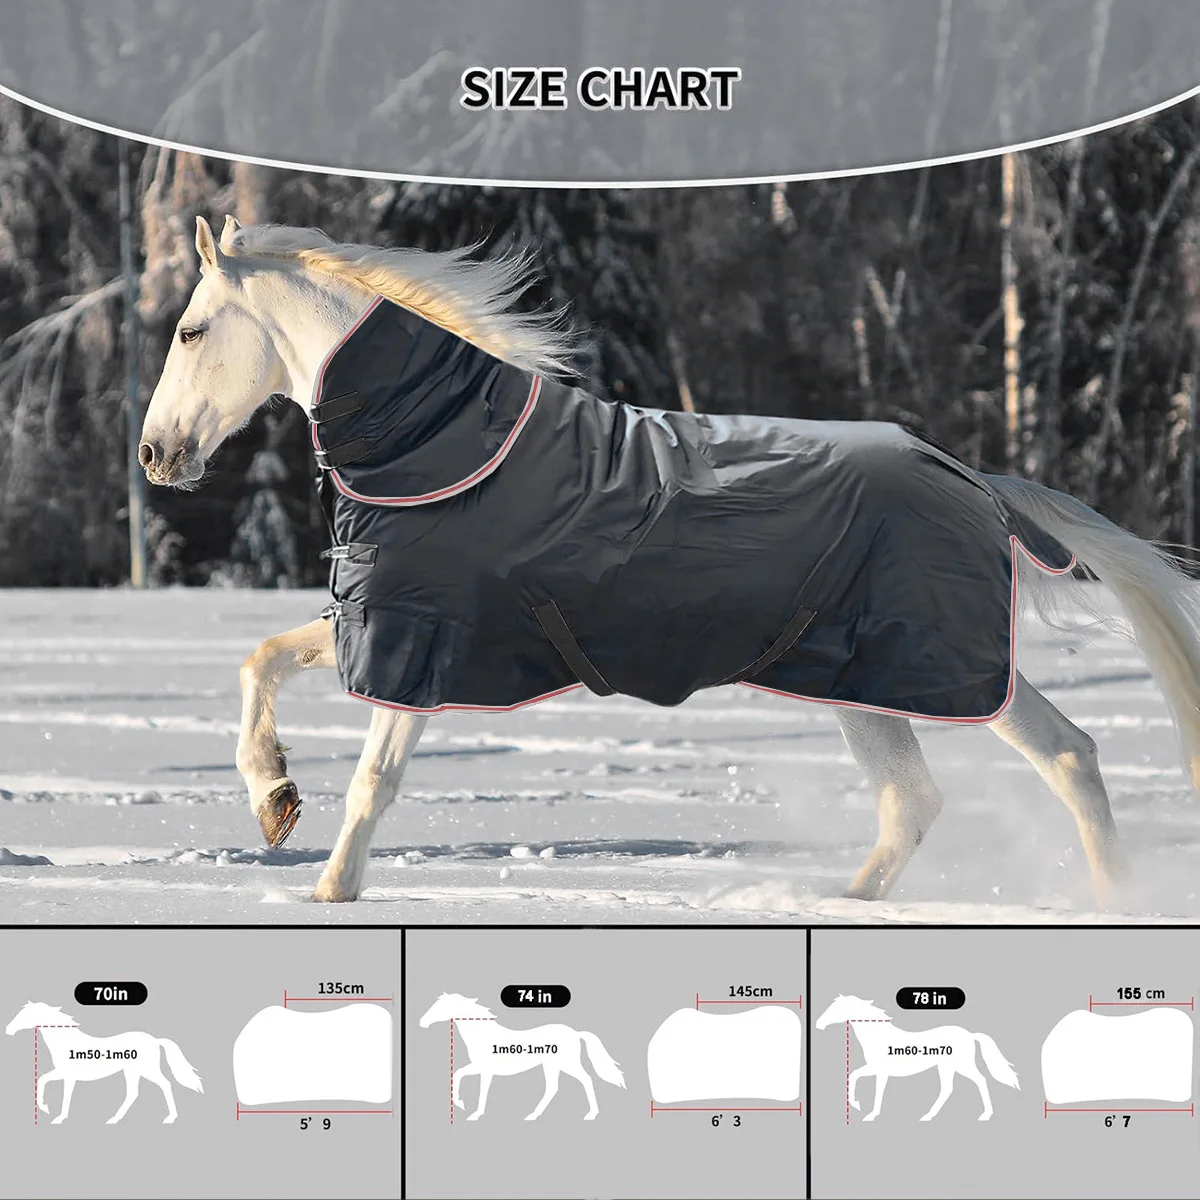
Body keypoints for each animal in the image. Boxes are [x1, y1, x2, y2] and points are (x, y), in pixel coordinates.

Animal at [5, 1001, 204, 1124]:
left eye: (25, 1014)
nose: (8, 1029)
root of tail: (155, 1040)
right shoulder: (64, 1074)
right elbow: (44, 1080)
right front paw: (47, 1109)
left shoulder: (68, 1075)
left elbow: (60, 1092)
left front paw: (55, 1116)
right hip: (132, 1072)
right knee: (133, 1093)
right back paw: (114, 1119)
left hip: (148, 1070)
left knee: (165, 1084)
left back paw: (170, 1118)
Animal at [138, 213, 1200, 907]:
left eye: (190, 329)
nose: (155, 456)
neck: (439, 441)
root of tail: (977, 479)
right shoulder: (382, 626)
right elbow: (260, 663)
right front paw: (274, 803)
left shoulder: (421, 642)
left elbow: (372, 782)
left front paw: (327, 888)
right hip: (864, 680)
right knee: (927, 798)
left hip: (940, 664)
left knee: (1059, 757)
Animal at [418, 992, 626, 1120]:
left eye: (440, 1006)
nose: (422, 1022)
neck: (483, 1034)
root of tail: (575, 1033)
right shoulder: (482, 1070)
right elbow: (463, 1078)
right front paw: (466, 1107)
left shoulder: (484, 1069)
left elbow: (472, 1084)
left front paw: (469, 1111)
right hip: (551, 1066)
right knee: (553, 1088)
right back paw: (533, 1115)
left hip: (568, 1064)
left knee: (586, 1079)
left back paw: (591, 1114)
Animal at [815, 994, 1019, 1121]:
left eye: (836, 1008)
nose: (818, 1024)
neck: (878, 1036)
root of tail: (969, 1034)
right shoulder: (877, 1070)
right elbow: (857, 1078)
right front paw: (860, 1107)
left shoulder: (880, 1070)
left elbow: (870, 1086)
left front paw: (866, 1112)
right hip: (946, 1067)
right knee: (947, 1089)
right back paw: (927, 1116)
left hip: (963, 1066)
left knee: (980, 1080)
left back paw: (985, 1115)